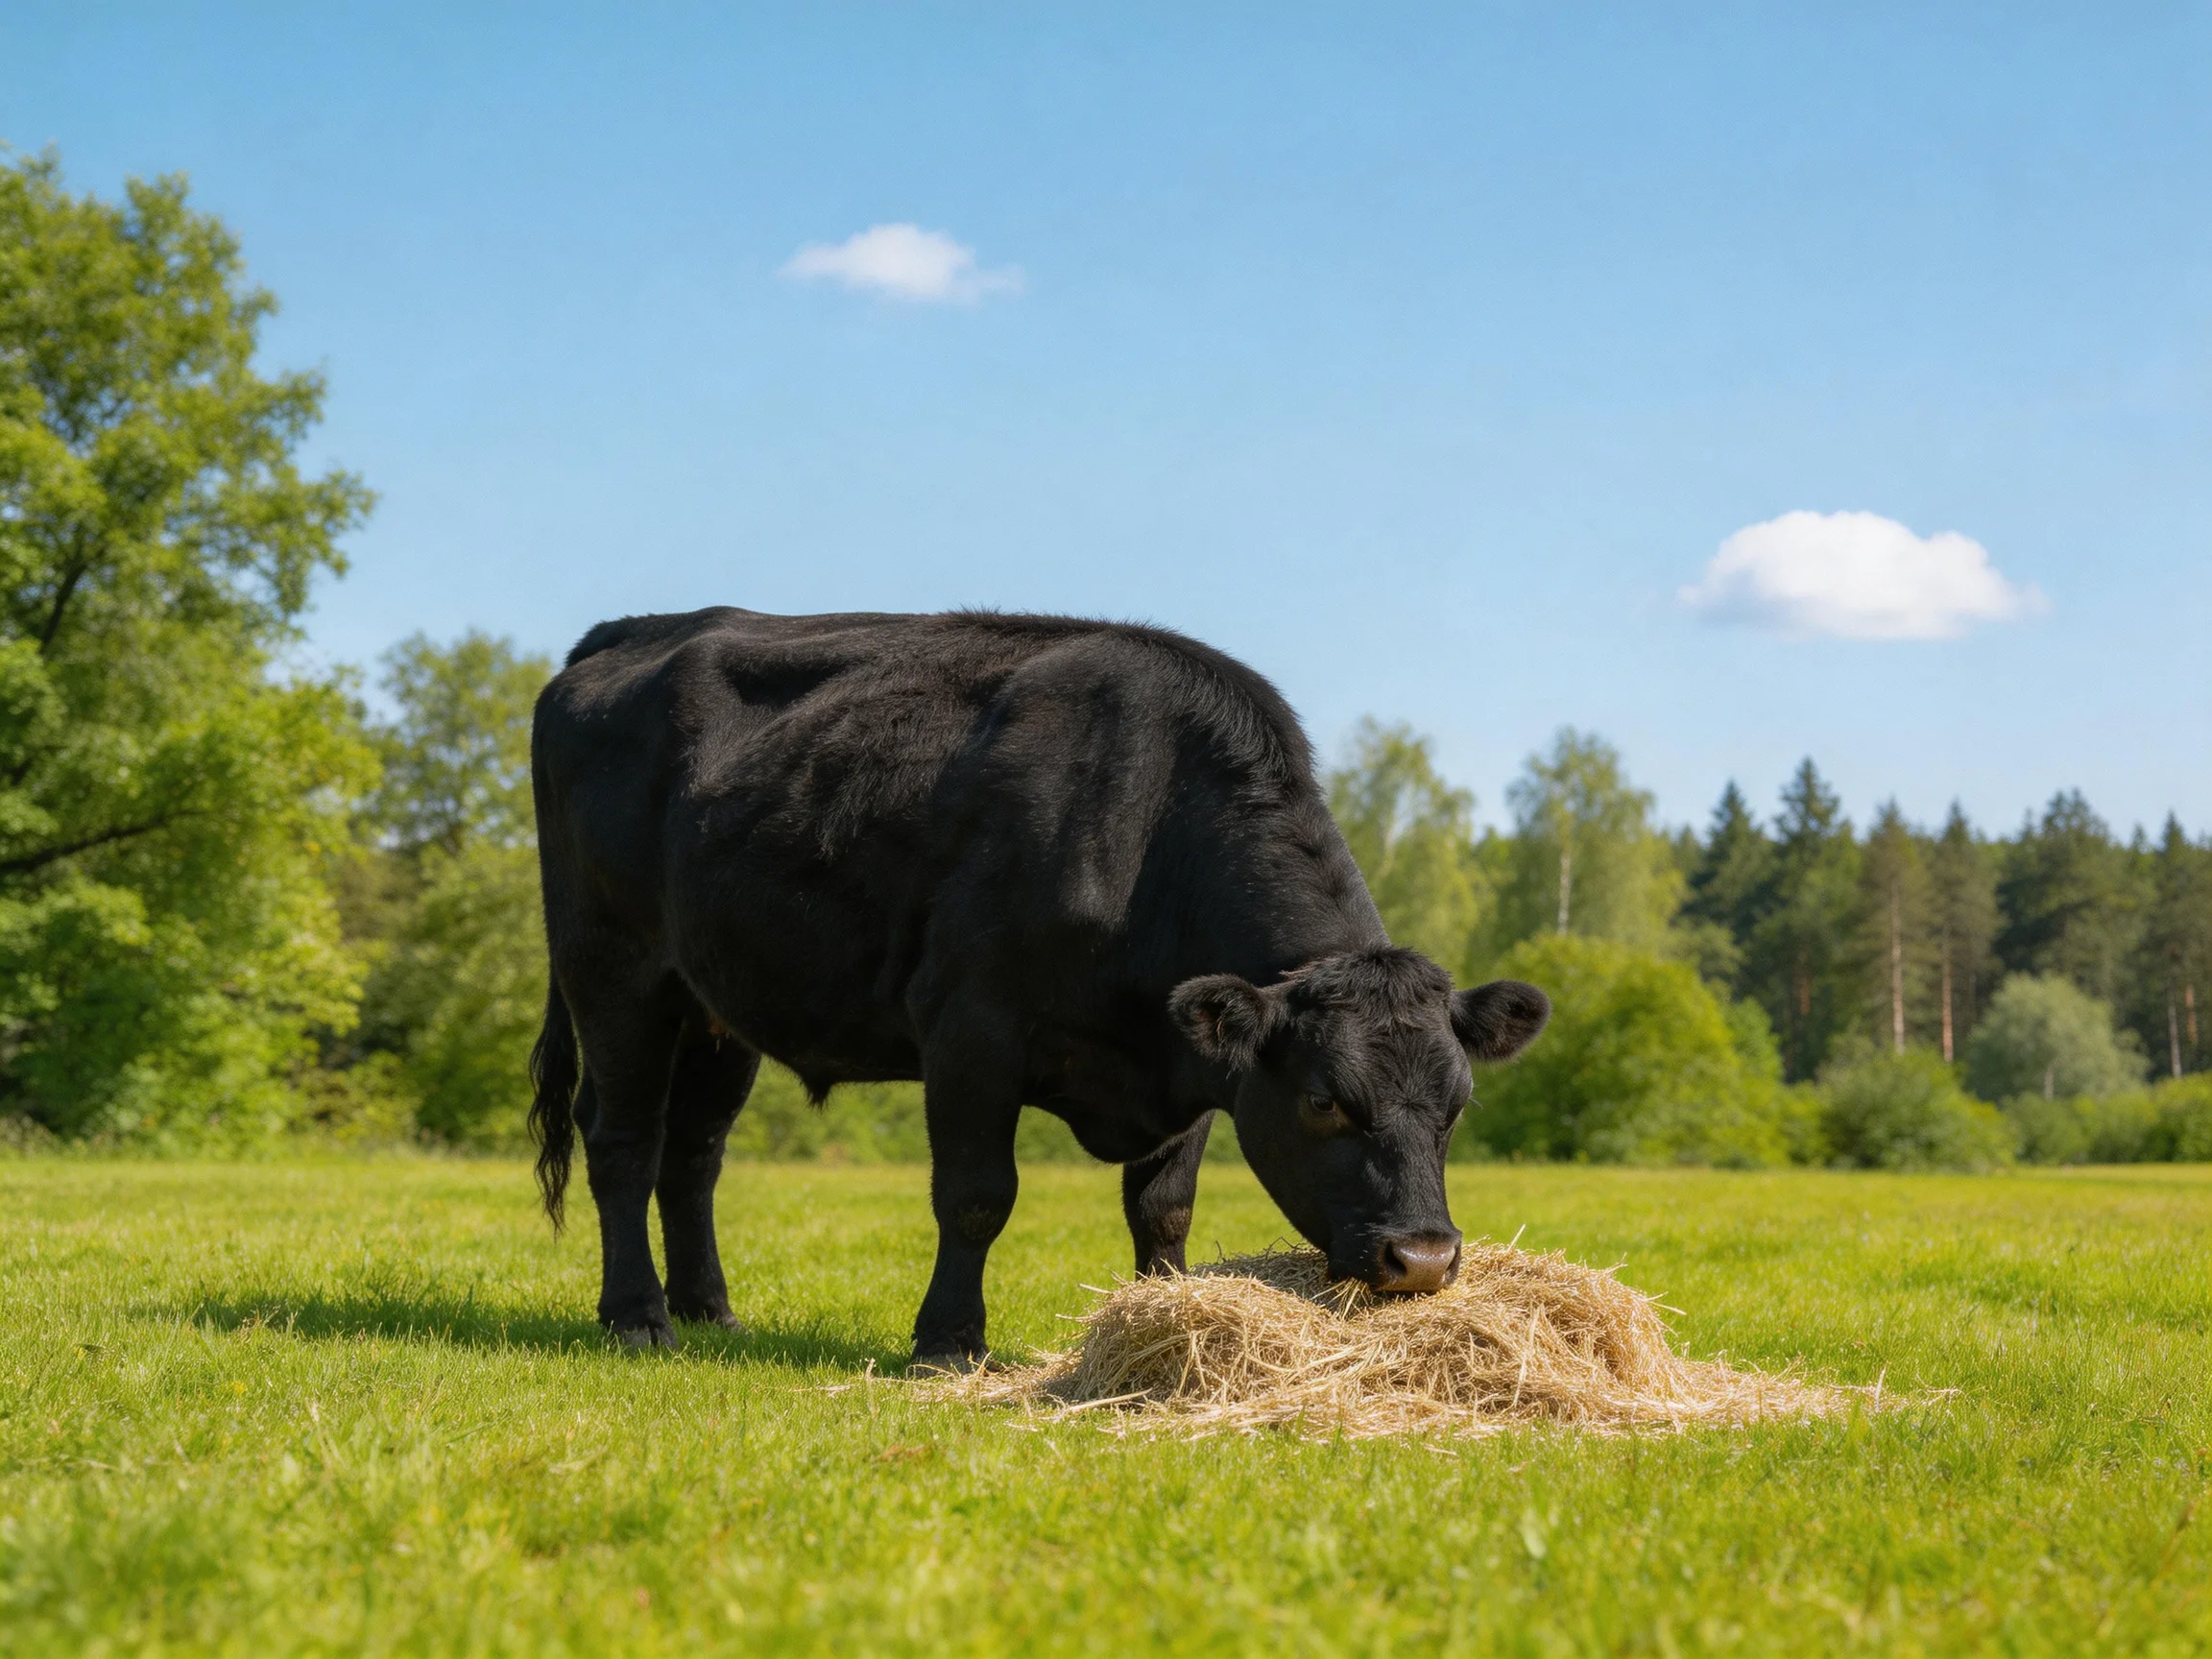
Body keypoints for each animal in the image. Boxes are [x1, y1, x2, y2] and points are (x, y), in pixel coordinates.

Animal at [527, 608, 1549, 1367]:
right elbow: (977, 1194)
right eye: (1325, 1100)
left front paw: (1158, 1322)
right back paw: (638, 1318)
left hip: (716, 1006)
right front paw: (947, 1344)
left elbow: (1163, 1205)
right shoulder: (971, 1029)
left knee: (693, 1154)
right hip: (612, 967)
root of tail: (633, 631)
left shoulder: (1193, 1057)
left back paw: (710, 1311)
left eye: (1458, 1104)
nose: (1422, 1258)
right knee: (623, 1140)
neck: (1146, 828)